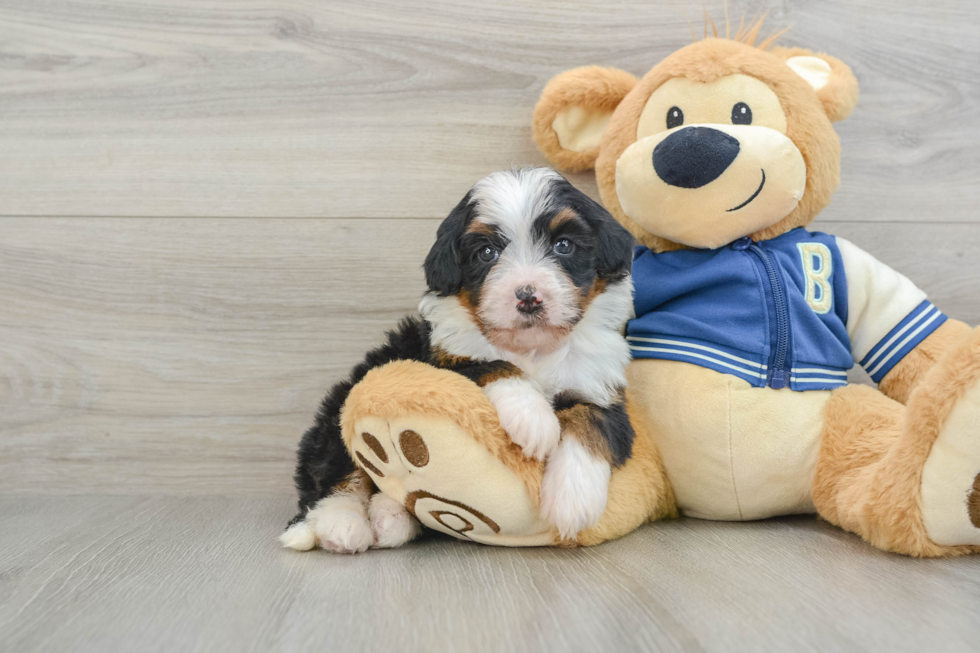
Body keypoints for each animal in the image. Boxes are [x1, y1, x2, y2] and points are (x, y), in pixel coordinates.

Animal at [282, 166, 636, 552]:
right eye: (486, 252)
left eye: (564, 245)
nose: (528, 296)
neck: (532, 349)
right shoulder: (440, 357)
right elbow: (491, 363)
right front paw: (533, 418)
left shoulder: (599, 384)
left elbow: (592, 424)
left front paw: (573, 500)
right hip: (341, 409)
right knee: (335, 475)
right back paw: (342, 525)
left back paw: (390, 518)